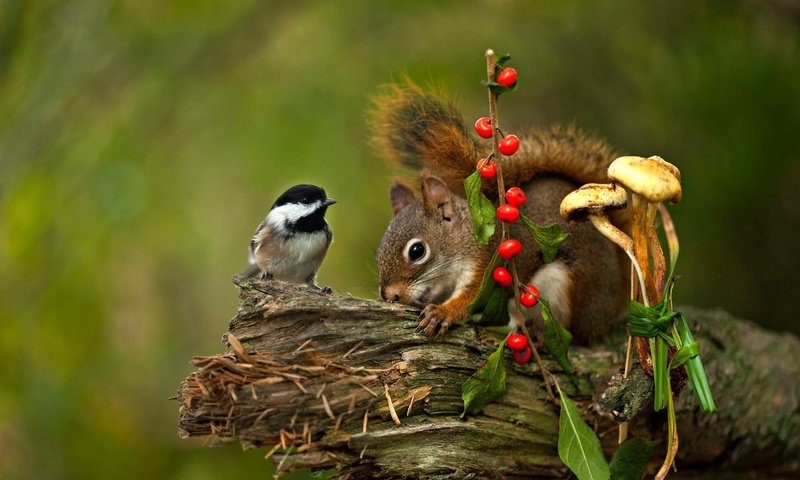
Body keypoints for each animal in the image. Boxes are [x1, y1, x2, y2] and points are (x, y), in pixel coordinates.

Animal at [372, 83, 628, 344]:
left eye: (417, 251)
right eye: (379, 252)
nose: (389, 296)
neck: (465, 238)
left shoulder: (491, 264)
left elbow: (472, 301)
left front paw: (442, 313)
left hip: (573, 288)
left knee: (573, 333)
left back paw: (539, 332)